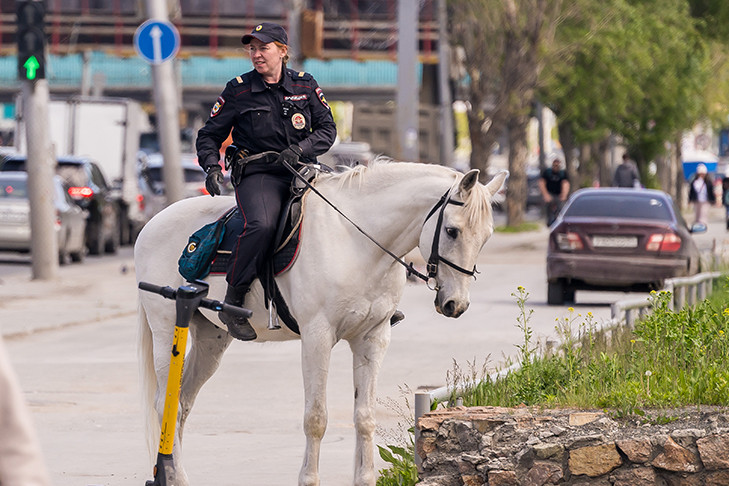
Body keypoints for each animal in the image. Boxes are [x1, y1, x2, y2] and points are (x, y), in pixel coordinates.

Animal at [134, 161, 504, 484]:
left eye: (486, 236)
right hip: (169, 329)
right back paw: (173, 476)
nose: (456, 304)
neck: (356, 242)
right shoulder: (317, 338)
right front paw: (309, 479)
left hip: (211, 340)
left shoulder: (373, 338)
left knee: (181, 404)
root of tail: (152, 224)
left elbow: (364, 416)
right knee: (164, 403)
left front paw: (365, 479)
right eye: (452, 231)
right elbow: (316, 418)